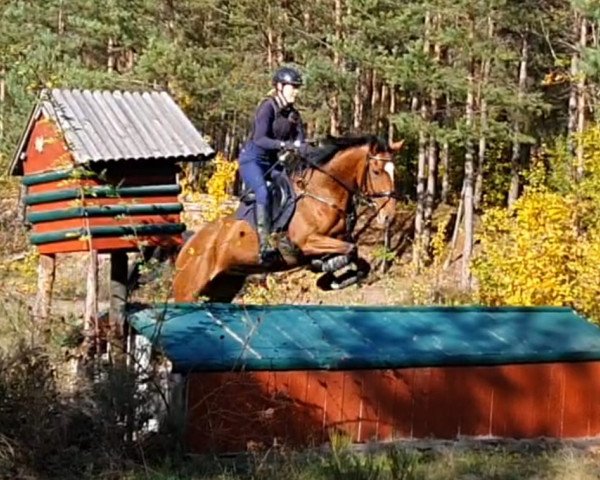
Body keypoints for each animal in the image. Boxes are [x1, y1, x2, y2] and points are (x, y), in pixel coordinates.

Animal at [171, 135, 404, 302]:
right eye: (376, 171)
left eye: (394, 172)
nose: (389, 216)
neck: (323, 195)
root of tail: (188, 246)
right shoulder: (308, 242)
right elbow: (350, 250)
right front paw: (328, 272)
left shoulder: (337, 239)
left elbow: (357, 256)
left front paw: (330, 277)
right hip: (188, 290)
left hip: (223, 287)